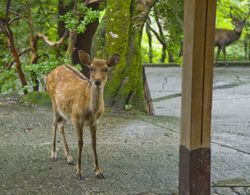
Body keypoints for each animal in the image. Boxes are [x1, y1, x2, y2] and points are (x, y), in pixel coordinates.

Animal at [46, 50, 120, 180]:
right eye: (91, 68)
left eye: (106, 69)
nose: (97, 81)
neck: (91, 111)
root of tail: (49, 73)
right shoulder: (76, 118)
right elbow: (80, 143)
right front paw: (79, 172)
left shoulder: (95, 122)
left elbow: (94, 143)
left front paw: (98, 171)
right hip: (54, 102)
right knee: (54, 124)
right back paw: (54, 154)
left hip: (65, 111)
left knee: (61, 125)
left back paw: (69, 157)